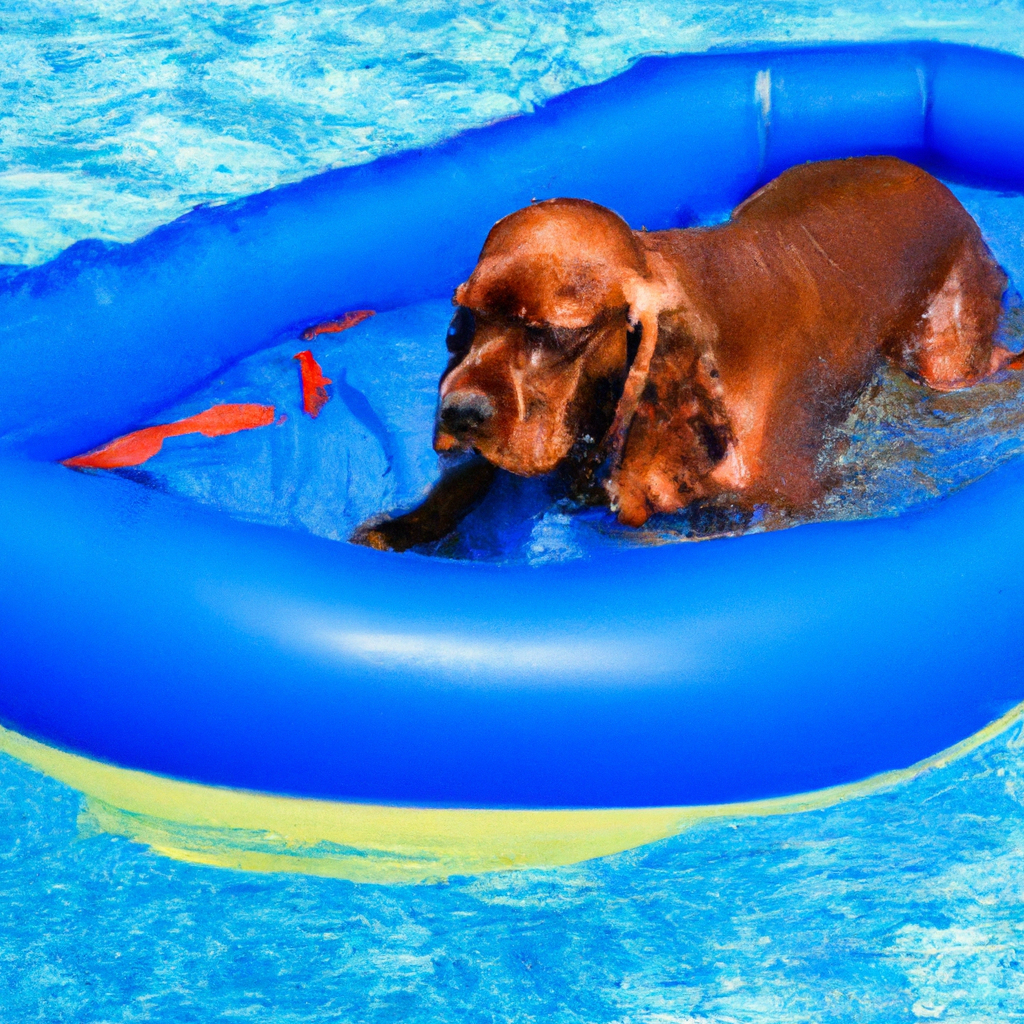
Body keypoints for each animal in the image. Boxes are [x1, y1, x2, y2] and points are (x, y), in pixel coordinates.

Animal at [356, 155, 1011, 552]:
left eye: (556, 333)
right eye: (463, 318)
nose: (457, 415)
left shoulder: (789, 503)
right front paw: (399, 528)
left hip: (945, 362)